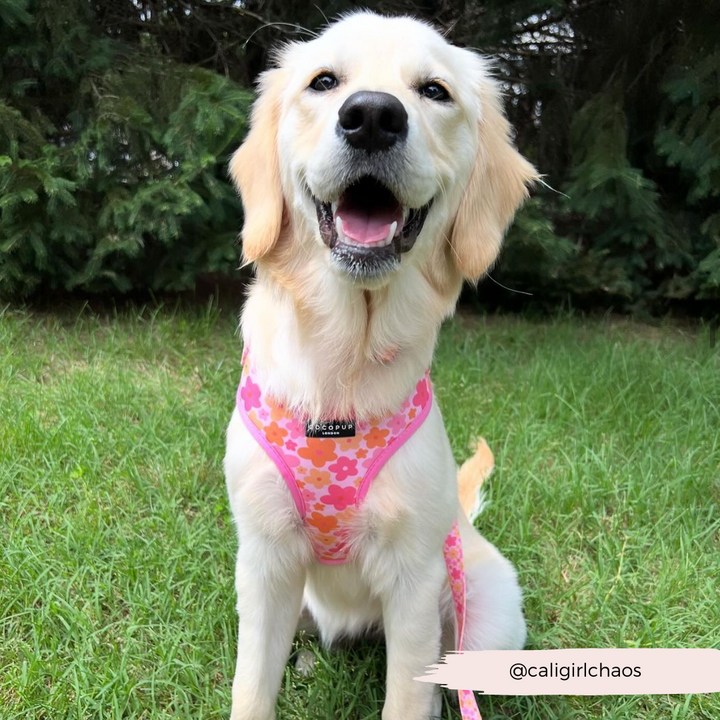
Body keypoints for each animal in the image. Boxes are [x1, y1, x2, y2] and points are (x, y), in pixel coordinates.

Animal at [224, 11, 536, 720]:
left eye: (435, 91)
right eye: (324, 81)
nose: (371, 116)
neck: (342, 367)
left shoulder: (414, 580)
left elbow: (408, 695)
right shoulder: (263, 560)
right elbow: (252, 687)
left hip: (484, 624)